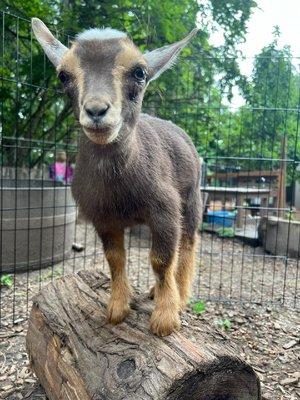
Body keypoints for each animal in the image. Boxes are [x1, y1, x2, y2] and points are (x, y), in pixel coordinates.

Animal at [32, 19, 202, 338]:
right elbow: (115, 258)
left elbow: (161, 259)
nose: (96, 110)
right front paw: (117, 308)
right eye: (63, 75)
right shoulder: (103, 217)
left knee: (187, 243)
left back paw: (181, 295)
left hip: (192, 198)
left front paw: (165, 318)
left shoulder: (165, 210)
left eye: (139, 72)